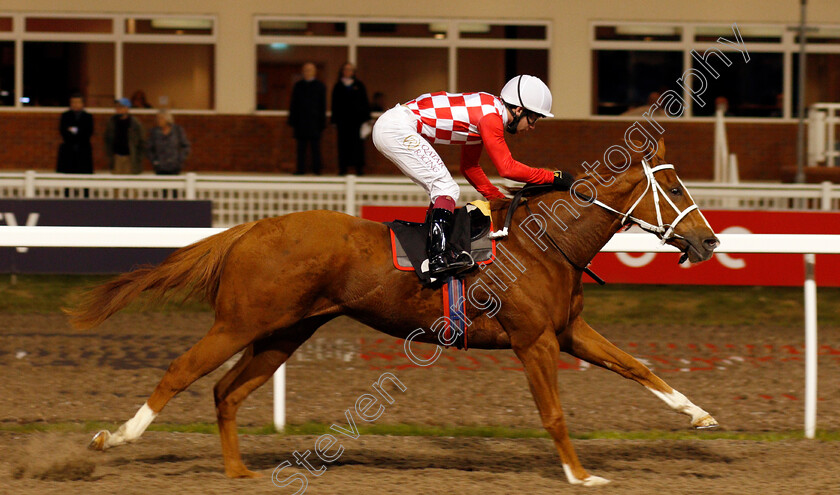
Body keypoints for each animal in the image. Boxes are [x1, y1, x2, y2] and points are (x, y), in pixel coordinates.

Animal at [69, 140, 720, 488]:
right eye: (677, 191)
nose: (710, 241)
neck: (544, 244)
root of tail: (253, 227)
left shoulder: (568, 331)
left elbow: (637, 366)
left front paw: (701, 416)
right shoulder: (533, 340)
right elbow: (555, 414)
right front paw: (581, 476)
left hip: (286, 330)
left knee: (227, 391)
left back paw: (238, 473)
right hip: (240, 323)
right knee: (182, 371)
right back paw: (115, 437)